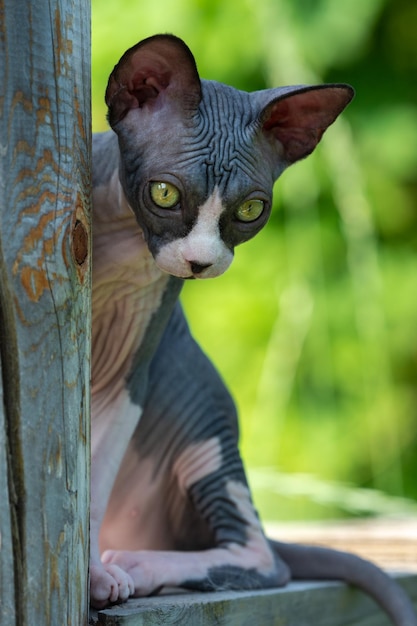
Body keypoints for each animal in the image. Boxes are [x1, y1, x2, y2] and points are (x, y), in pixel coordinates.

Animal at [89, 34, 414, 624]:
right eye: (165, 194)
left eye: (249, 210)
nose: (199, 263)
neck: (121, 245)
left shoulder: (127, 379)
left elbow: (91, 484)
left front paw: (92, 578)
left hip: (199, 419)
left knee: (264, 557)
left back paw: (137, 564)